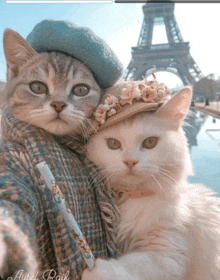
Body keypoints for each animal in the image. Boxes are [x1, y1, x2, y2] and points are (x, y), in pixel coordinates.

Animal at [82, 86, 220, 280]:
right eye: (113, 144)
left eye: (150, 142)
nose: (130, 162)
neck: (134, 197)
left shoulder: (168, 255)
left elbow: (133, 265)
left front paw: (98, 272)